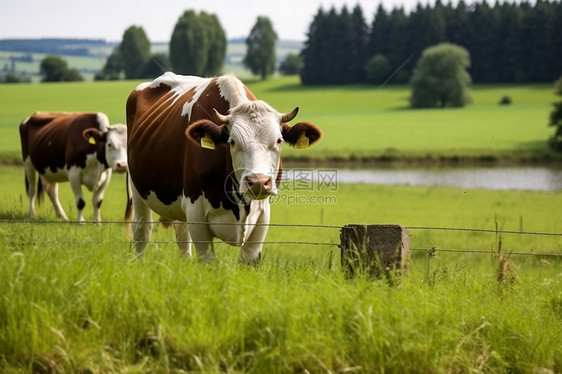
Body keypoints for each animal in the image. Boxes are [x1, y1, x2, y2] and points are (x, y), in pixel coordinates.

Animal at [126, 73, 320, 264]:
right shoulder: (195, 211)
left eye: (279, 140)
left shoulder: (263, 214)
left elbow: (249, 257)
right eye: (232, 141)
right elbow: (207, 259)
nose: (258, 182)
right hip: (137, 188)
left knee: (182, 235)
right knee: (142, 230)